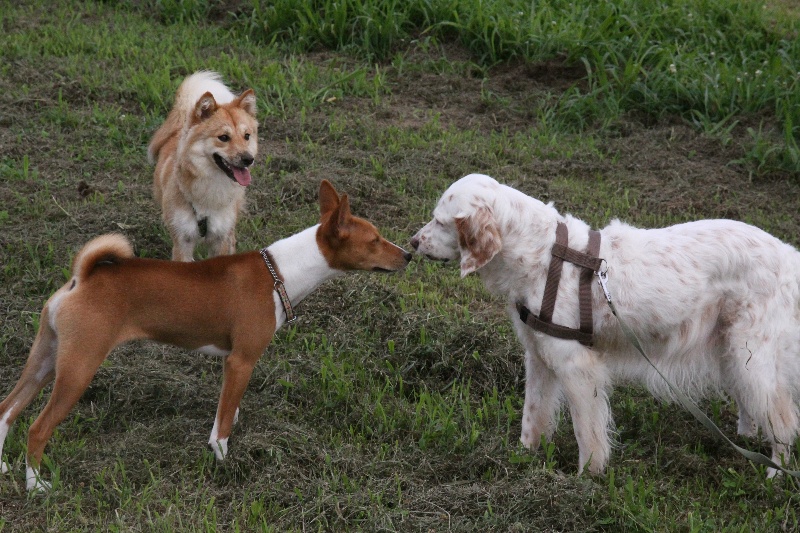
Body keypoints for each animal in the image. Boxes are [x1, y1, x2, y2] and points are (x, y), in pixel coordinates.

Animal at [0, 180, 411, 492]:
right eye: (375, 240)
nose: (408, 254)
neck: (279, 273)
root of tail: (81, 278)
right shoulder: (242, 361)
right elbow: (223, 427)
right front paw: (225, 462)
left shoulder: (232, 365)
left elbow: (227, 408)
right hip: (78, 369)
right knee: (36, 429)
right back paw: (36, 487)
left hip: (45, 360)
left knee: (6, 411)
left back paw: (4, 470)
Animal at [411, 173, 800, 476]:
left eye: (441, 222)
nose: (413, 242)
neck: (544, 255)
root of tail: (787, 253)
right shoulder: (538, 356)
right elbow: (533, 416)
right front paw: (521, 459)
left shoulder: (576, 366)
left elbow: (588, 433)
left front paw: (586, 478)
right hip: (733, 350)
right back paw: (745, 439)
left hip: (751, 354)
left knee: (782, 419)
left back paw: (774, 474)